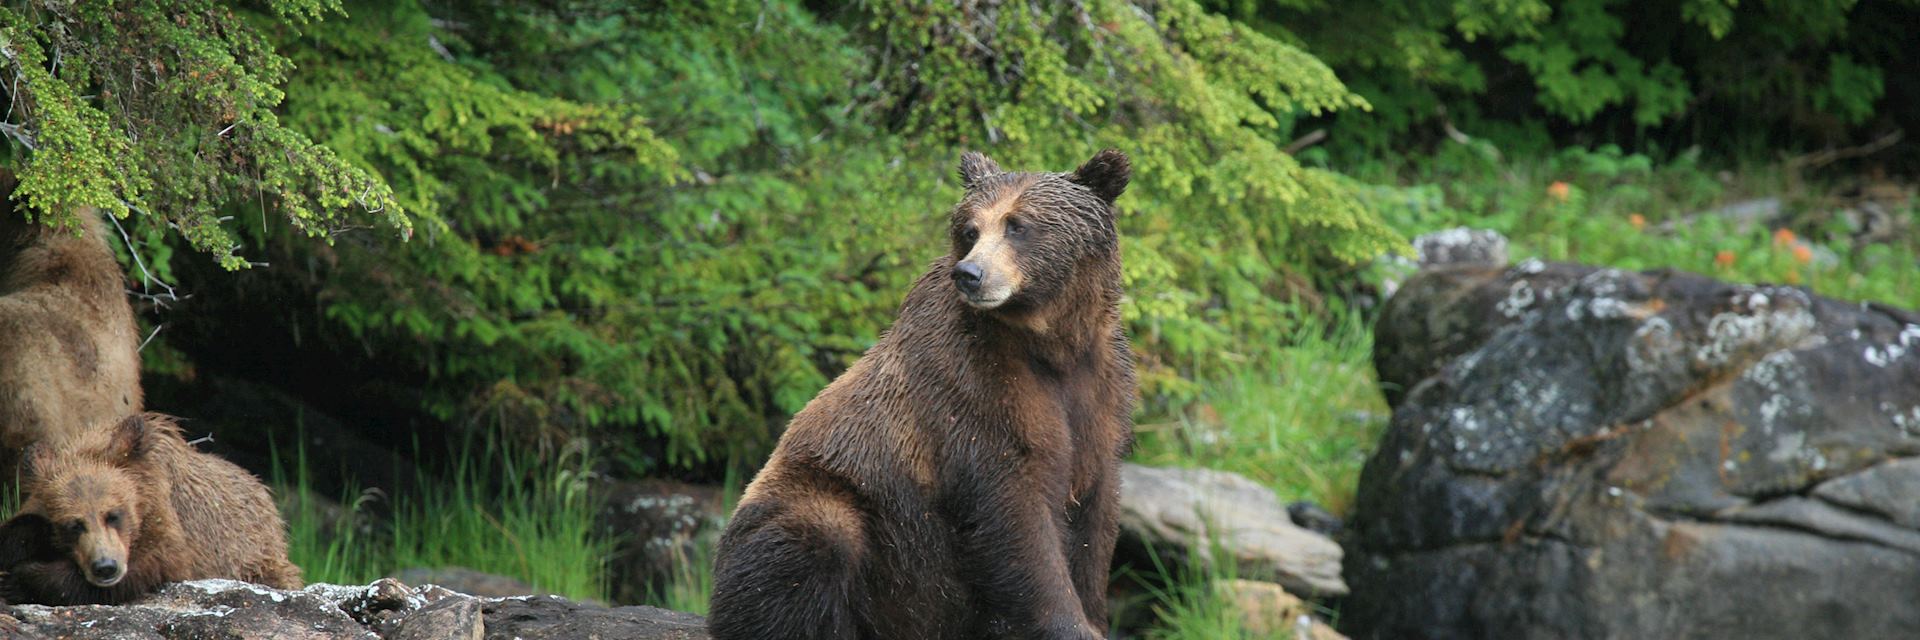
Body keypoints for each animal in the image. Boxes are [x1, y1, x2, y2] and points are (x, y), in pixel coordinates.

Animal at [0, 411, 301, 599]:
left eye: (114, 515)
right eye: (73, 524)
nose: (105, 567)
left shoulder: (168, 518)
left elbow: (155, 562)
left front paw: (24, 579)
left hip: (260, 559)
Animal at [710, 149, 1128, 638]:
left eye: (1018, 224)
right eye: (970, 229)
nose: (970, 274)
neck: (1049, 342)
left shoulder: (1099, 388)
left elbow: (1095, 514)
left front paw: (1094, 615)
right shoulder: (975, 388)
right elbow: (1015, 511)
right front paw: (1068, 623)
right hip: (838, 509)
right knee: (810, 543)